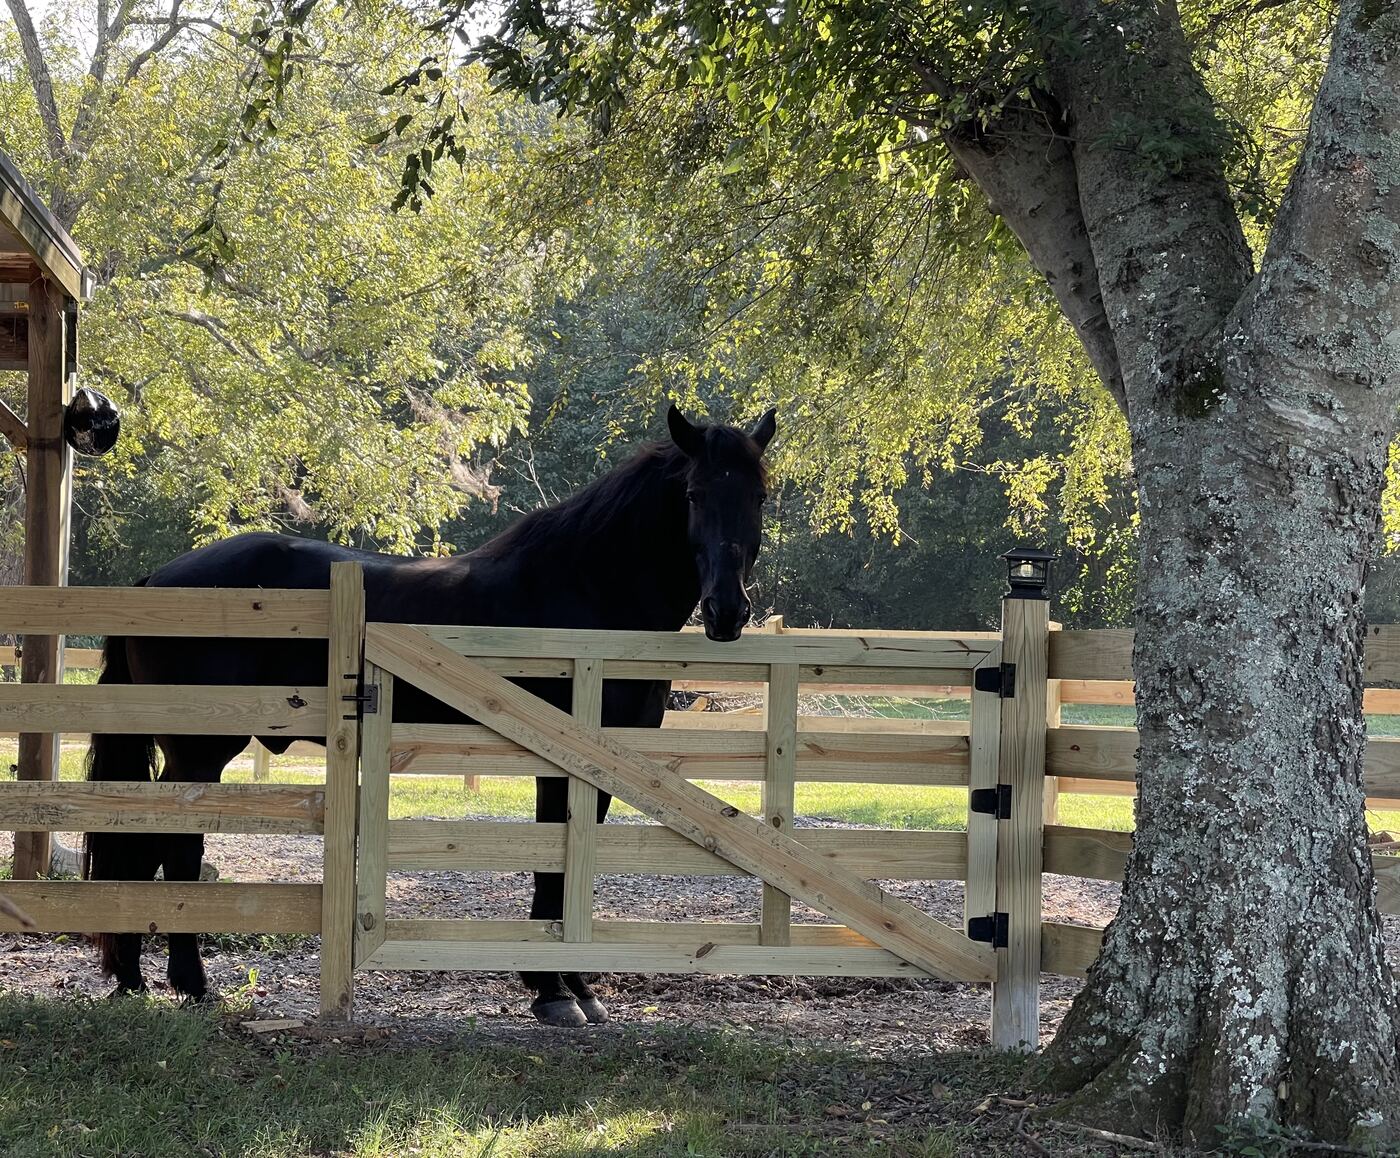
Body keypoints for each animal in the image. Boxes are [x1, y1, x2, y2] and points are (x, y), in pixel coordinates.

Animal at [83, 404, 776, 1027]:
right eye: (693, 495)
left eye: (760, 497)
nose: (728, 611)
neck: (585, 589)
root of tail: (156, 580)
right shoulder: (559, 760)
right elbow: (552, 866)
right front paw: (551, 991)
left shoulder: (604, 762)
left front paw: (575, 987)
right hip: (199, 748)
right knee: (176, 849)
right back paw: (191, 984)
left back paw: (134, 979)